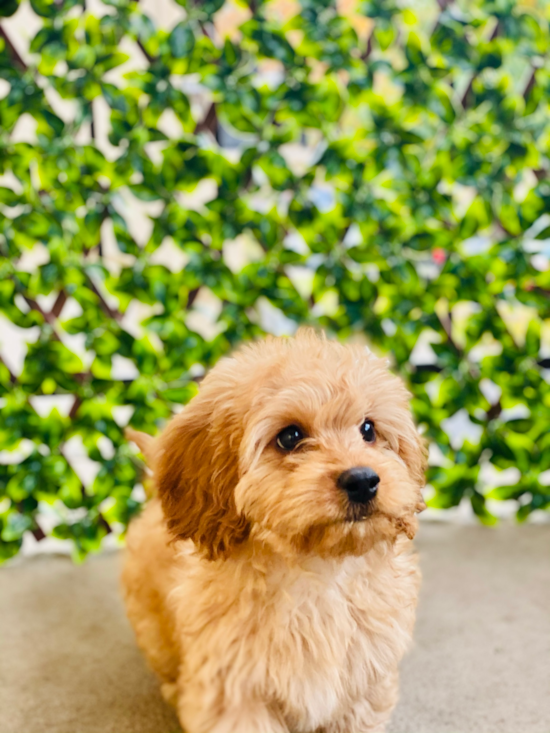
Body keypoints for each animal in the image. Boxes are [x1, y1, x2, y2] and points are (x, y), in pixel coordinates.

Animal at [123, 330, 430, 732]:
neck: (317, 572)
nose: (363, 481)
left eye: (368, 429)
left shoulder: (361, 685)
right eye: (289, 437)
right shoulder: (235, 691)